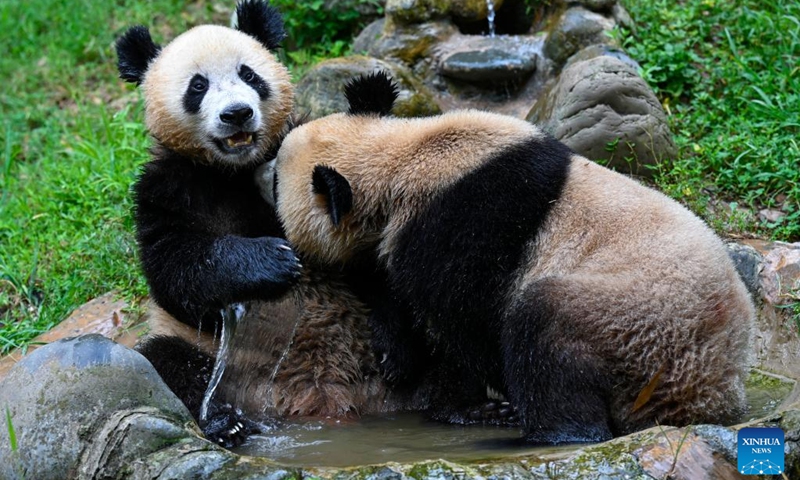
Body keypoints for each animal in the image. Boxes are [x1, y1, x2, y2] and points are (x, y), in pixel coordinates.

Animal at [115, 1, 400, 447]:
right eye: (198, 86)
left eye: (249, 74)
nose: (237, 114)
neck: (232, 169)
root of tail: (317, 397)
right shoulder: (165, 188)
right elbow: (174, 272)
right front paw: (270, 262)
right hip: (221, 361)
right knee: (167, 363)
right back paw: (226, 422)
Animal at [269, 71, 756, 445]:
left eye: (274, 181)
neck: (400, 158)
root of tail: (713, 392)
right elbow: (389, 289)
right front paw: (397, 358)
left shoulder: (462, 223)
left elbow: (466, 323)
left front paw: (462, 405)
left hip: (641, 323)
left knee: (547, 330)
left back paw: (544, 432)